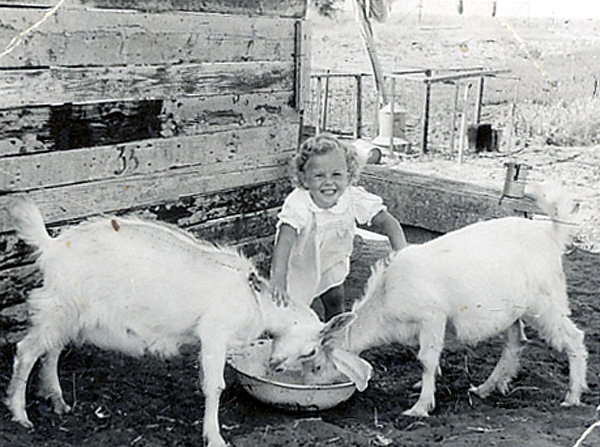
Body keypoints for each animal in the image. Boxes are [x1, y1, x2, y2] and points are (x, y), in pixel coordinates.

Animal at [4, 200, 324, 447]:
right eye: (311, 351)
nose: (277, 368)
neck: (256, 299)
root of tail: (52, 244)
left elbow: (207, 381)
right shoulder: (215, 333)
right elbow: (216, 386)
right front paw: (215, 437)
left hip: (68, 313)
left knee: (52, 350)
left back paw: (57, 400)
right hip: (59, 306)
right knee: (27, 351)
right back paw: (20, 414)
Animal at [304, 185, 584, 416]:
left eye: (317, 366)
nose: (311, 391)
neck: (385, 295)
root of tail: (551, 233)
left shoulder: (432, 317)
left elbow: (426, 359)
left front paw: (420, 406)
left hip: (546, 302)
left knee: (573, 338)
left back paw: (572, 396)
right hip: (512, 311)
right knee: (515, 343)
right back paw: (486, 387)